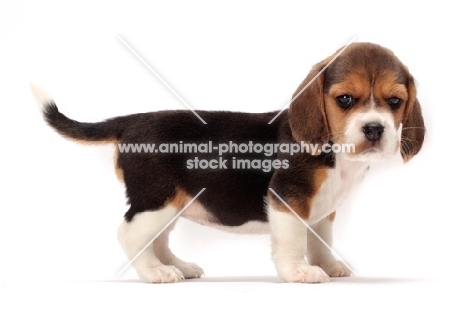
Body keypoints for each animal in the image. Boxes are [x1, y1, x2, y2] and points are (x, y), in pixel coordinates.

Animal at [32, 42, 424, 284]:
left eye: (394, 101)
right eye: (345, 99)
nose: (374, 129)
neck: (336, 154)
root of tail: (129, 122)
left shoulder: (322, 209)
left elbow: (321, 240)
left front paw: (328, 266)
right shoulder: (288, 199)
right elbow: (294, 240)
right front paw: (298, 272)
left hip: (172, 204)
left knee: (157, 239)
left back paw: (175, 266)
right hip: (156, 200)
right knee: (129, 234)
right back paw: (156, 272)